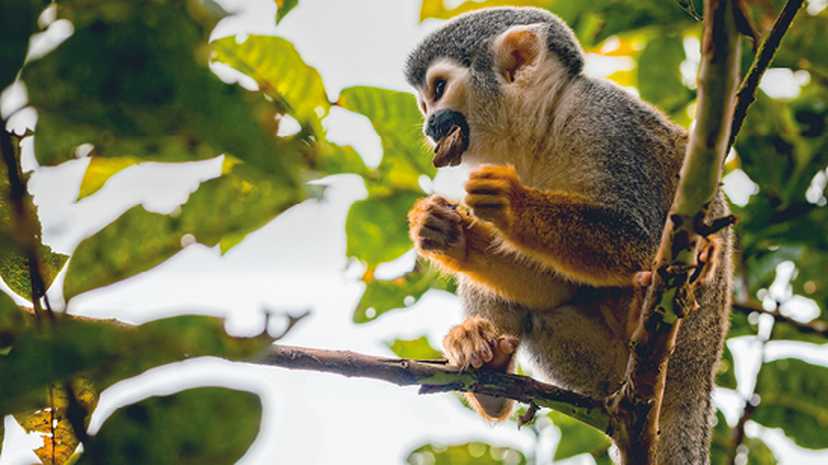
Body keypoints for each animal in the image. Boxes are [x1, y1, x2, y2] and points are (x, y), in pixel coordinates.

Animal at [404, 8, 732, 465]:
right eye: (423, 102)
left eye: (438, 89)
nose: (430, 124)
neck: (545, 129)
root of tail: (701, 382)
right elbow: (549, 286)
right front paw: (452, 234)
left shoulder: (608, 124)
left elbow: (639, 242)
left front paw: (513, 203)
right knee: (540, 314)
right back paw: (489, 370)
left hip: (691, 341)